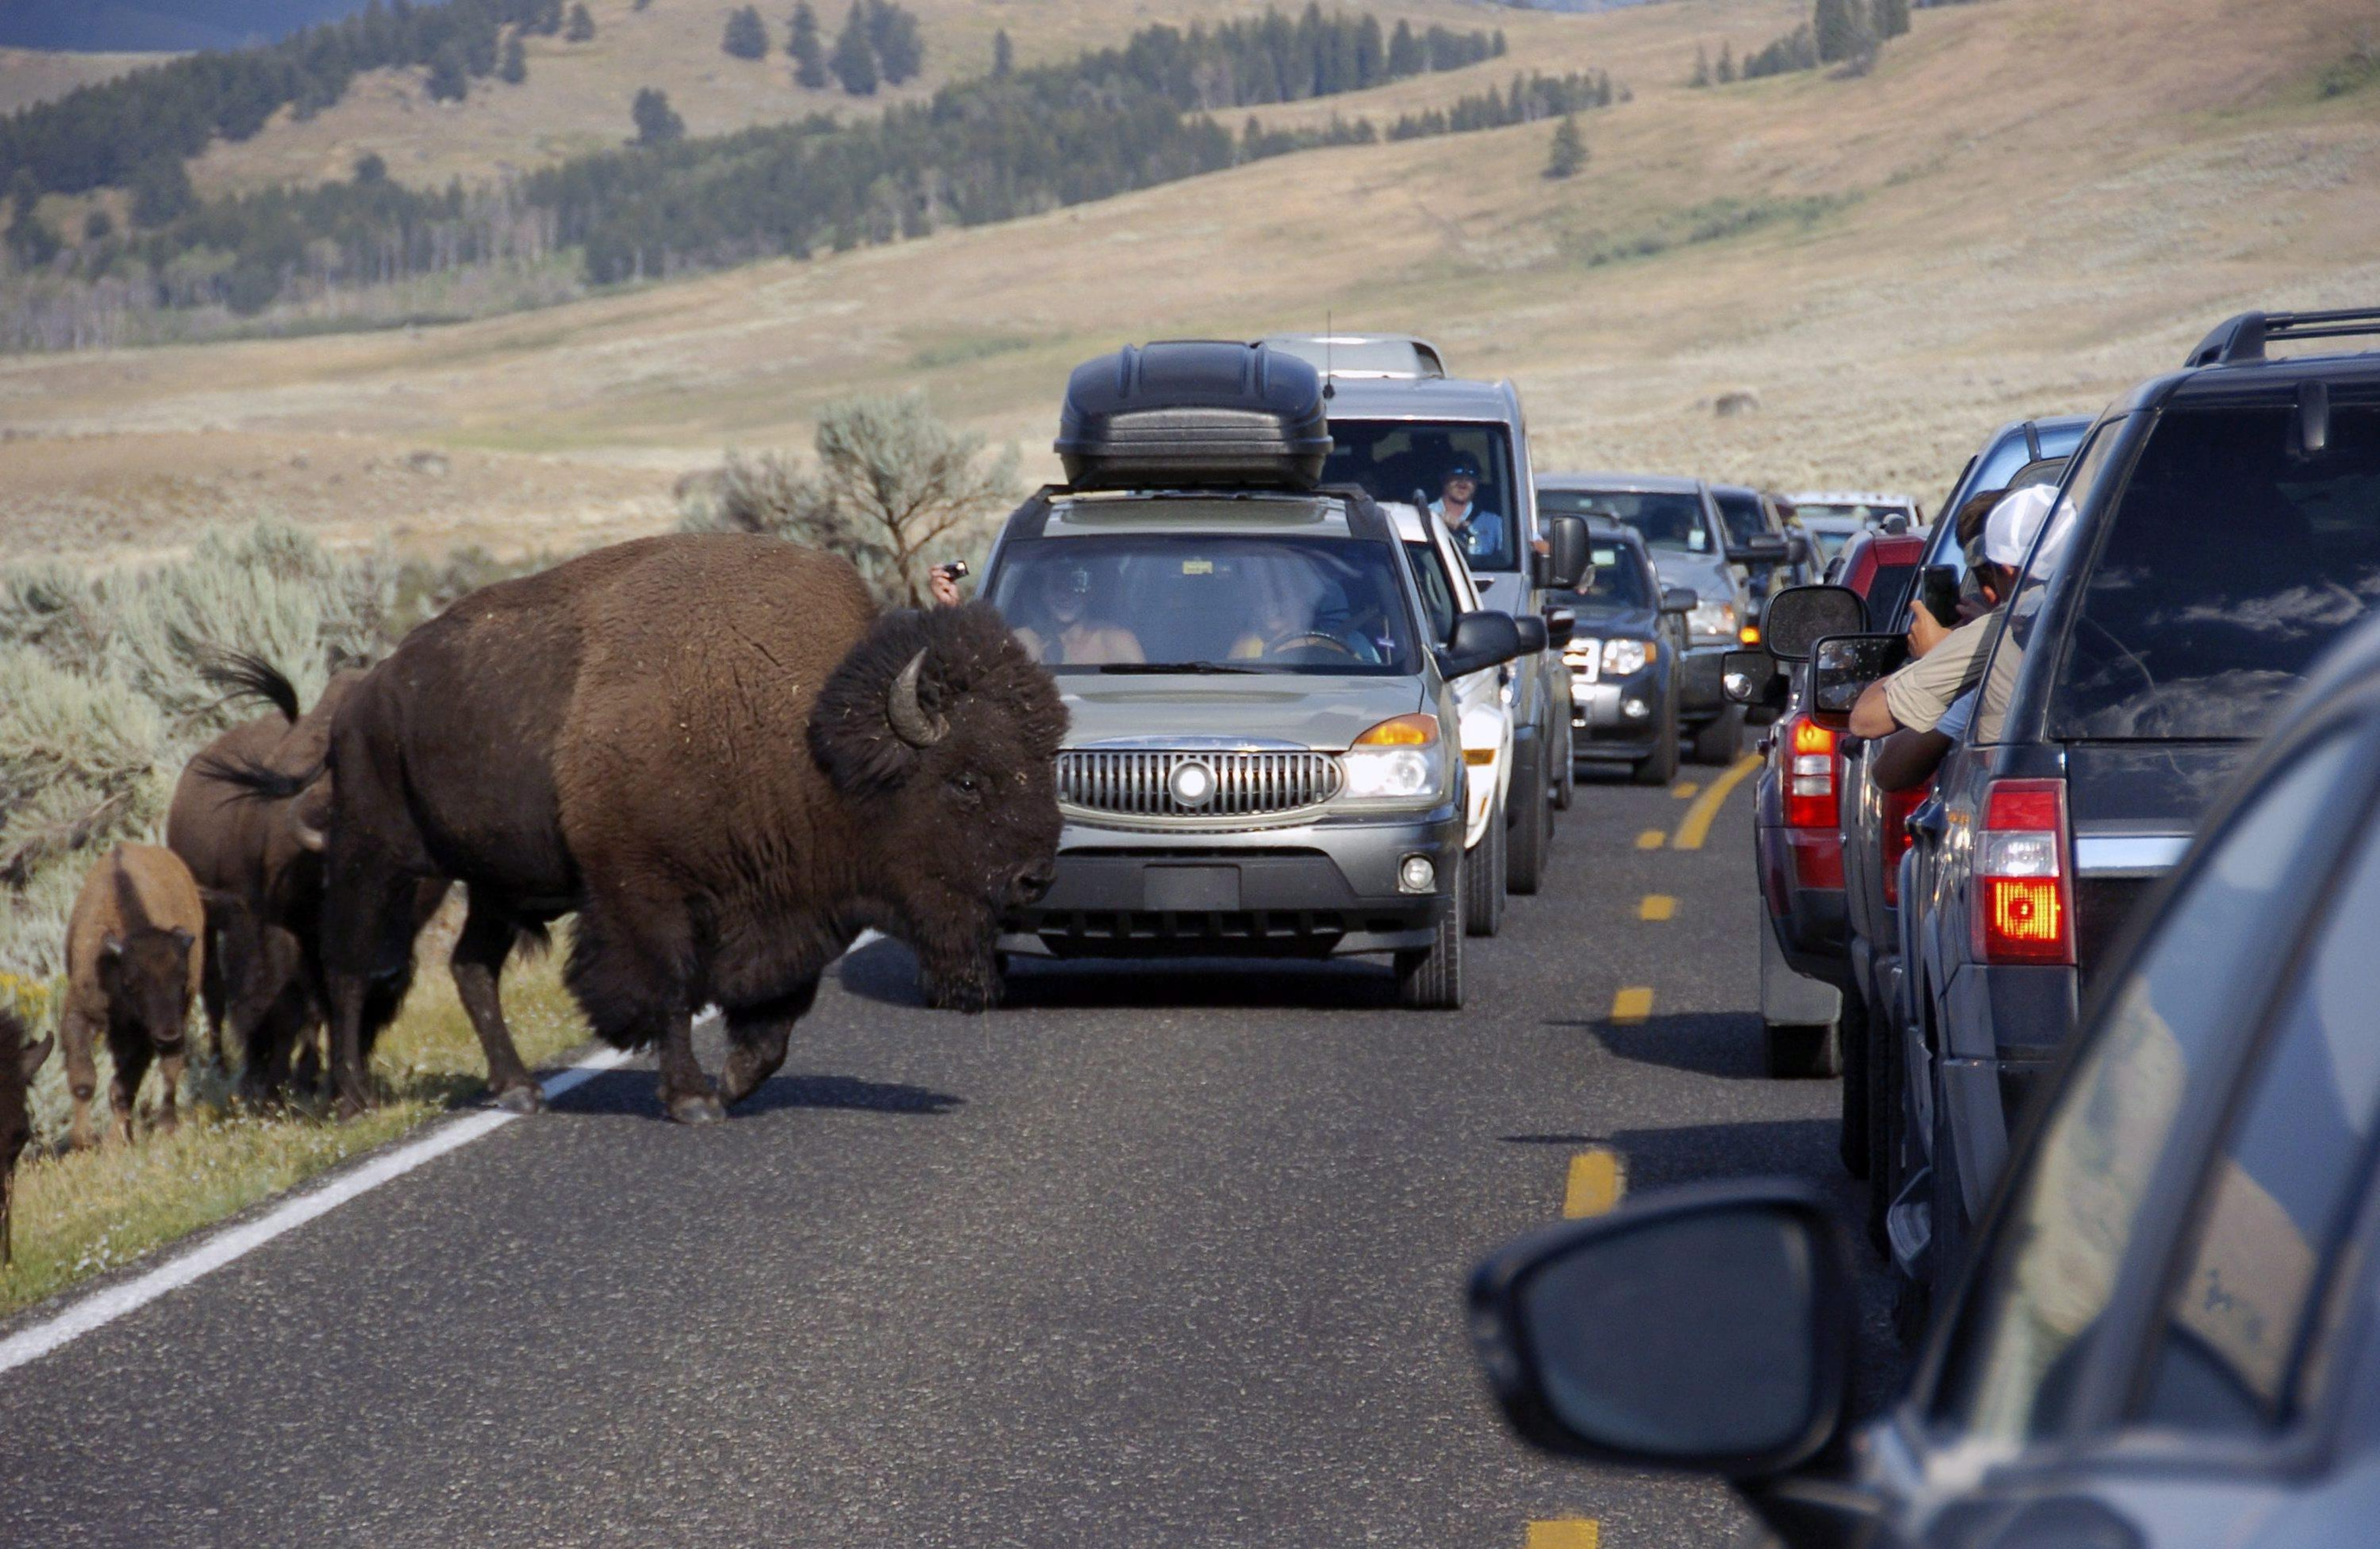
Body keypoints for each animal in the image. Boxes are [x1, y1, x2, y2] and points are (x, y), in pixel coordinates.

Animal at [62, 842, 207, 1147]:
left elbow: (123, 1086)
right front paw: (84, 1140)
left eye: (183, 980)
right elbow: (84, 1079)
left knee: (170, 1070)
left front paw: (113, 1144)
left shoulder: (144, 1034)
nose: (169, 1035)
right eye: (132, 983)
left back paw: (166, 1128)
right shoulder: (79, 1013)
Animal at [225, 533, 1071, 1128]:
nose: (1036, 874)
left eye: (1044, 760)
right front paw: (694, 1097)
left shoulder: (791, 910)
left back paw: (520, 1089)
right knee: (347, 969)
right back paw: (354, 1100)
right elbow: (670, 990)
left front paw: (732, 1082)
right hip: (378, 859)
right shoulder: (644, 893)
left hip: (497, 885)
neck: (807, 737)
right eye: (966, 778)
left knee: (471, 967)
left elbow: (775, 1019)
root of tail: (363, 695)